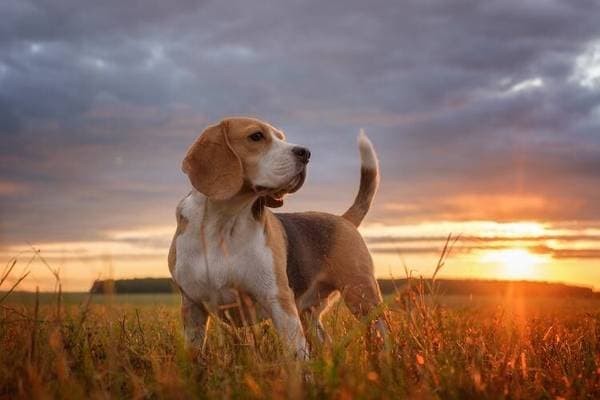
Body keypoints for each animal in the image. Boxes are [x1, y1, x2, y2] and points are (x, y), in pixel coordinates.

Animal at [166, 117, 386, 358]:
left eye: (282, 137)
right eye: (256, 136)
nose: (306, 153)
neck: (224, 222)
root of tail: (343, 219)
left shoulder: (278, 300)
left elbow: (297, 355)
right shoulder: (192, 306)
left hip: (363, 296)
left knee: (382, 331)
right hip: (309, 313)